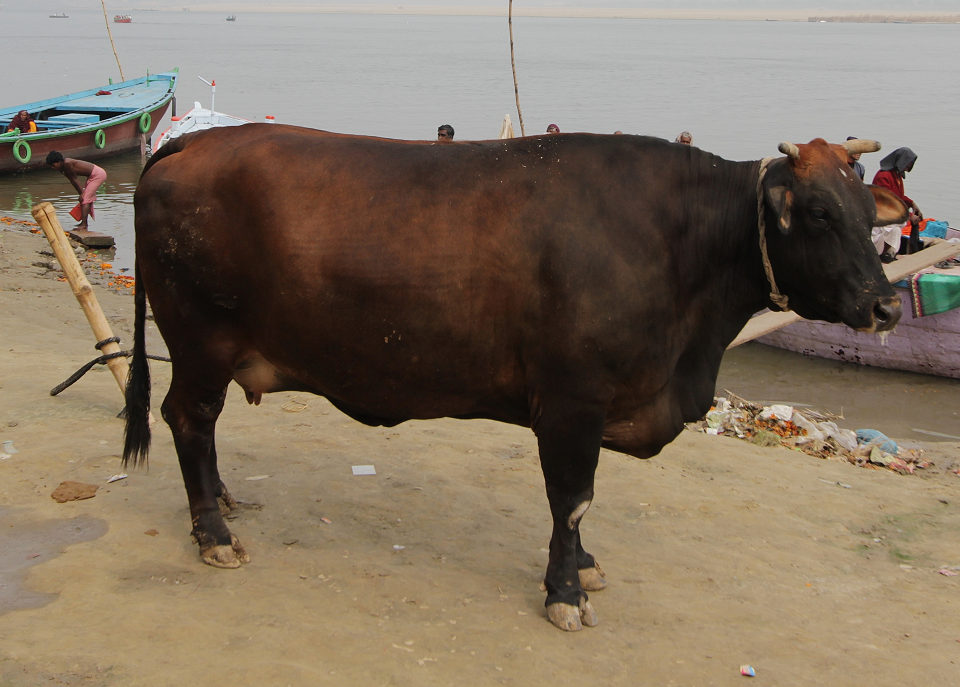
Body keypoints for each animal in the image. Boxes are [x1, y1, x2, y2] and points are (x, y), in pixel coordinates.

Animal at [125, 126, 908, 632]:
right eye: (818, 212)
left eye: (867, 213)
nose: (888, 306)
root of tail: (197, 140)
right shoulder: (570, 401)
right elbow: (573, 498)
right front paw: (565, 589)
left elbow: (581, 506)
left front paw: (584, 566)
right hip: (200, 341)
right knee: (188, 419)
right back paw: (213, 532)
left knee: (200, 427)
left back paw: (222, 502)